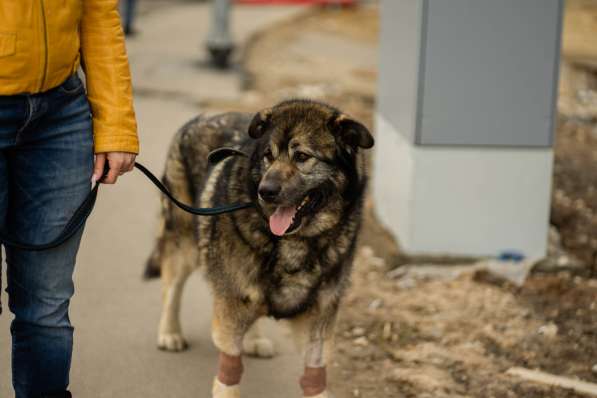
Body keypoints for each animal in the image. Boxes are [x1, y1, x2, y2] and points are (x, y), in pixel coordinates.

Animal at [144, 99, 372, 398]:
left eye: (302, 156)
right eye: (268, 156)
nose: (266, 191)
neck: (295, 243)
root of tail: (199, 119)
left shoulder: (319, 320)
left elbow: (315, 377)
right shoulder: (229, 309)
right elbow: (229, 373)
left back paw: (253, 339)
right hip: (183, 243)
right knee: (171, 287)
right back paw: (169, 333)